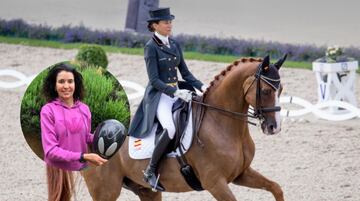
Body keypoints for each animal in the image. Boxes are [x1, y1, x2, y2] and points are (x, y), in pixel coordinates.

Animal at [81, 55, 286, 201]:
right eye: (266, 91)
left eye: (281, 90)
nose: (274, 127)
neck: (221, 124)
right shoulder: (215, 183)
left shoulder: (241, 174)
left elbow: (276, 187)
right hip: (106, 191)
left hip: (146, 191)